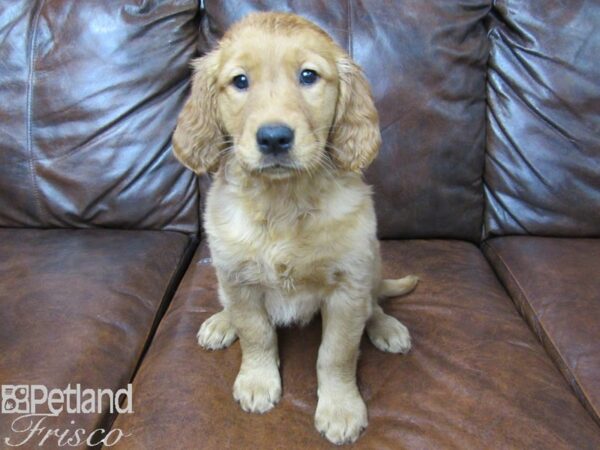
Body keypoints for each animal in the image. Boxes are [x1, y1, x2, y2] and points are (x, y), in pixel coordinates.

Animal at [173, 11, 418, 446]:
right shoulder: (239, 279)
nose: (274, 138)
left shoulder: (348, 288)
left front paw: (340, 408)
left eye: (308, 76)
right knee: (229, 306)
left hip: (371, 264)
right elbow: (256, 332)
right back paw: (221, 322)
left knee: (374, 302)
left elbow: (337, 354)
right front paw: (257, 381)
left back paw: (386, 326)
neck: (283, 201)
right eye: (240, 81)